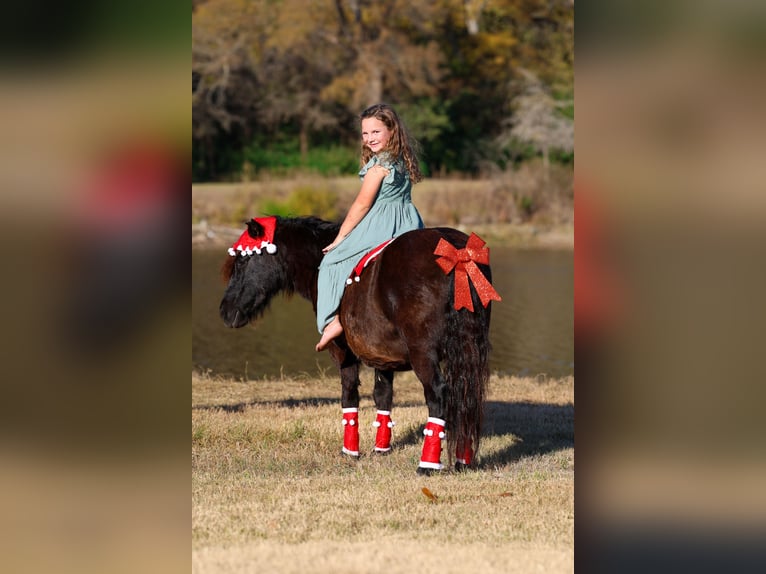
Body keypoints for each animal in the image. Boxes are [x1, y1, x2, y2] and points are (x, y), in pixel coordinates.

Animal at [219, 216, 499, 474]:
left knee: (438, 393)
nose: (225, 311)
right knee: (465, 391)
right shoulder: (383, 355)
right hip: (467, 348)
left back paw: (427, 464)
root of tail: (458, 253)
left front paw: (350, 450)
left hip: (423, 354)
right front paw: (381, 448)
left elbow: (349, 394)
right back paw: (463, 459)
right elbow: (382, 395)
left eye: (242, 260)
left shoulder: (342, 352)